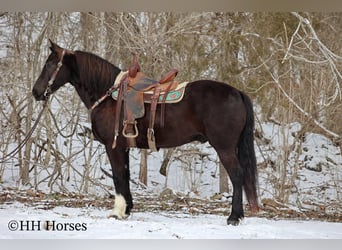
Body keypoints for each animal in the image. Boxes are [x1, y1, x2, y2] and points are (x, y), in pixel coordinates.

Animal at [32, 40, 258, 225]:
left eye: (50, 64)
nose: (36, 92)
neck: (108, 95)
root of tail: (237, 92)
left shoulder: (113, 146)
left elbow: (118, 176)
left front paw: (118, 212)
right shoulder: (123, 147)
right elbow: (124, 174)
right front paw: (127, 209)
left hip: (224, 148)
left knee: (237, 176)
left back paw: (234, 217)